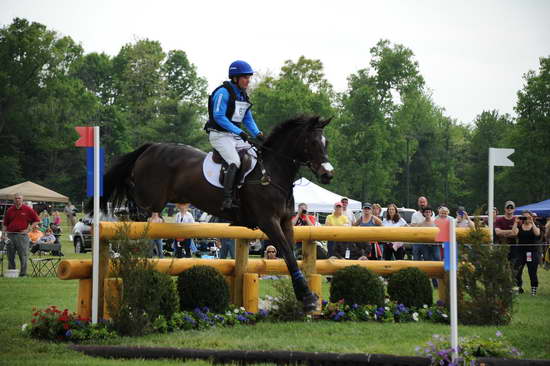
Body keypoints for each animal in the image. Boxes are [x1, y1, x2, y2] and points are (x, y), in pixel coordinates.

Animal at [95, 115, 334, 312]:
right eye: (313, 143)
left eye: (326, 143)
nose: (328, 175)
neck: (272, 173)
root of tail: (152, 146)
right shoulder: (268, 222)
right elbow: (288, 254)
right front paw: (308, 298)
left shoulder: (285, 222)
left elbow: (291, 256)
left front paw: (303, 295)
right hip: (152, 197)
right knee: (129, 186)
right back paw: (123, 209)